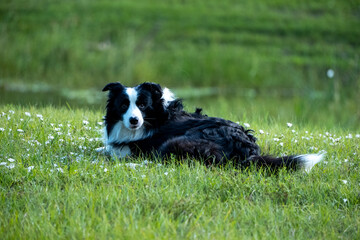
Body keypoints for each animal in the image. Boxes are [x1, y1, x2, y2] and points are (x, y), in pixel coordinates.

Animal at [100, 83, 324, 172]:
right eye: (123, 105)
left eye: (142, 105)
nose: (134, 121)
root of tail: (247, 149)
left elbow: (114, 151)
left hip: (177, 144)